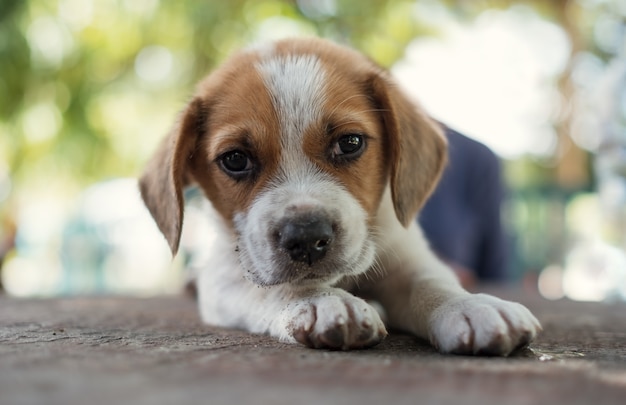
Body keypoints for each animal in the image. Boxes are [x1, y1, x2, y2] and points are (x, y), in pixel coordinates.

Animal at [139, 37, 540, 354]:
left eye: (350, 143)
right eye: (235, 159)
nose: (306, 237)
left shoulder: (406, 257)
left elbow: (432, 283)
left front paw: (469, 307)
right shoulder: (226, 278)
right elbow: (277, 289)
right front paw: (321, 302)